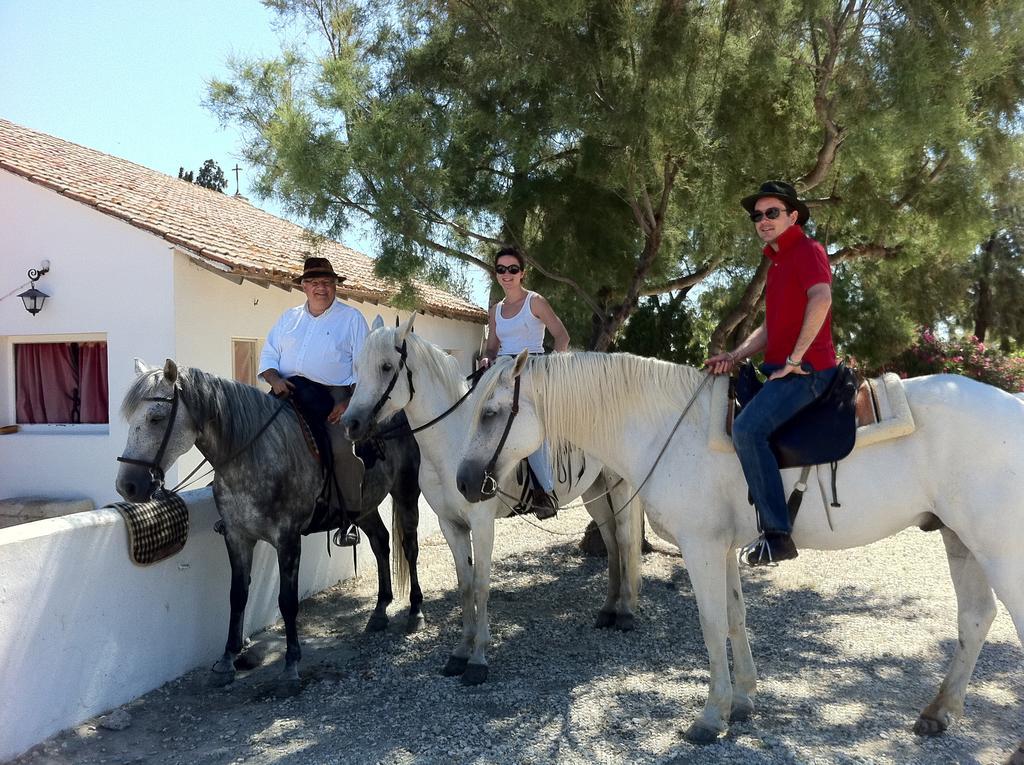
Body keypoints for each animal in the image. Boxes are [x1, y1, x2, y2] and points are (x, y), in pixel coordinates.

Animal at [117, 362, 423, 692]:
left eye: (156, 418)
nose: (127, 485)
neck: (251, 454)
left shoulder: (287, 539)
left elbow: (287, 602)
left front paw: (290, 666)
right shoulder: (237, 537)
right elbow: (237, 595)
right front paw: (226, 661)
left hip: (406, 492)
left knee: (410, 547)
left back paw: (415, 611)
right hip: (364, 507)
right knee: (381, 542)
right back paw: (379, 612)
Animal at [339, 313, 643, 684]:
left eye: (385, 367)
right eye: (356, 365)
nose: (350, 424)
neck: (453, 442)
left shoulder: (482, 524)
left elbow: (483, 584)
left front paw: (478, 658)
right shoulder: (450, 525)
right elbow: (465, 585)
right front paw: (460, 652)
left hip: (619, 485)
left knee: (625, 539)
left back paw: (625, 613)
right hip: (594, 491)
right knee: (611, 541)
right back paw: (607, 610)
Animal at [456, 352, 1024, 761]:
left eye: (490, 412)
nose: (465, 482)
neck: (667, 426)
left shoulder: (702, 546)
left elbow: (711, 626)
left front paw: (712, 717)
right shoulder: (723, 547)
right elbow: (734, 618)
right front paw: (745, 700)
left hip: (998, 548)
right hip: (959, 539)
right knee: (976, 618)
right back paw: (939, 712)